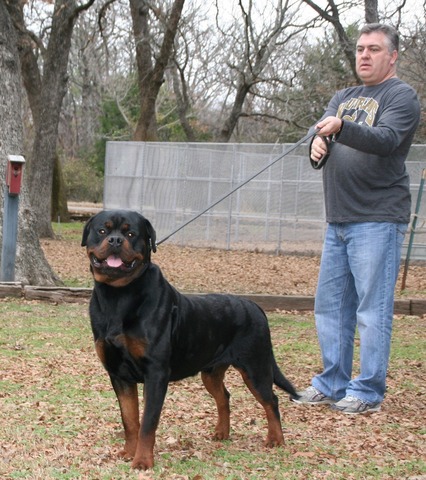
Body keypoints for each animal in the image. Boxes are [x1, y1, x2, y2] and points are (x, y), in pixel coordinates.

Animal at [81, 210, 298, 468]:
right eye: (102, 231)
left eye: (131, 233)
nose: (115, 240)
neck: (118, 296)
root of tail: (254, 305)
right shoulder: (119, 374)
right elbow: (130, 419)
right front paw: (128, 452)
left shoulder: (156, 374)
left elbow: (148, 422)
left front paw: (142, 461)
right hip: (211, 372)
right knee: (224, 396)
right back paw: (222, 433)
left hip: (255, 367)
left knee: (270, 400)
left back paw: (276, 439)